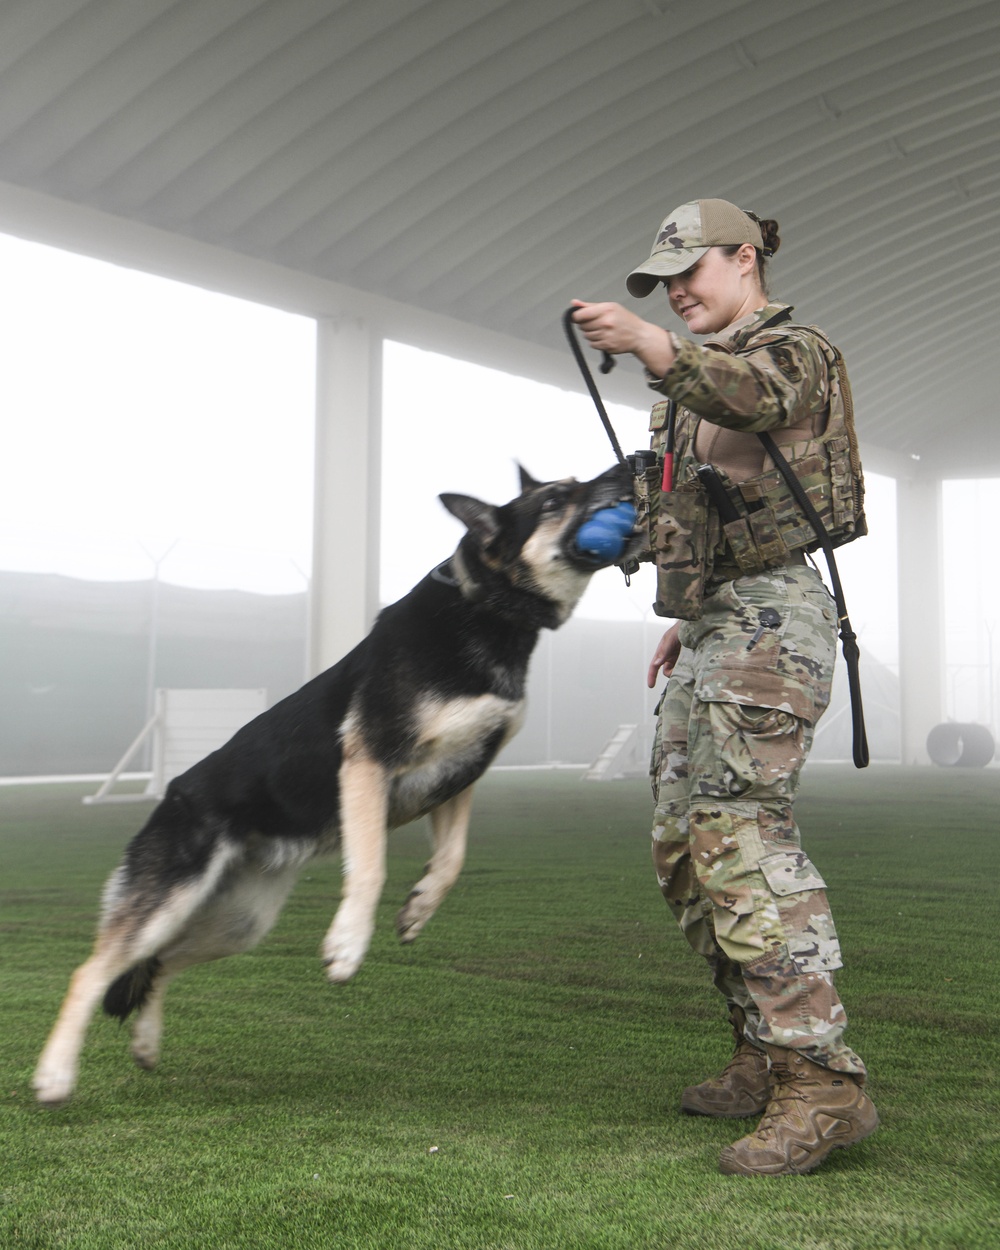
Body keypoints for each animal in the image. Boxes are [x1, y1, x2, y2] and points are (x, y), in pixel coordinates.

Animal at [35, 467, 640, 1105]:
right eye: (555, 499)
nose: (629, 469)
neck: (484, 609)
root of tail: (171, 798)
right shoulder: (369, 762)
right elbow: (370, 867)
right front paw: (348, 945)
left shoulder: (458, 778)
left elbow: (452, 861)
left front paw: (418, 910)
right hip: (170, 900)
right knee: (91, 971)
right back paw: (55, 1075)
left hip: (237, 923)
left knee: (158, 964)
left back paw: (146, 1043)